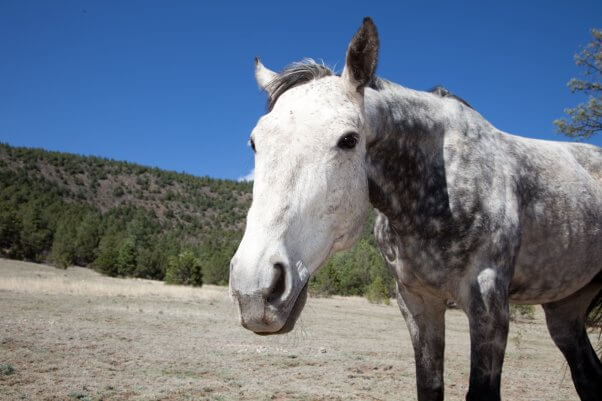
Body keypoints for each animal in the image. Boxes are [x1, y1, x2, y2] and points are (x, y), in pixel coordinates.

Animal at [226, 17, 600, 398]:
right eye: (255, 142)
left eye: (349, 140)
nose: (254, 289)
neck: (439, 189)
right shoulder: (417, 303)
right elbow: (429, 386)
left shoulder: (489, 305)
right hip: (565, 310)